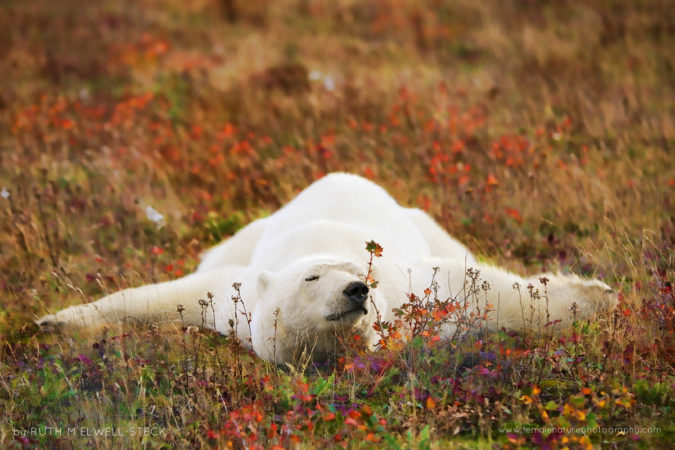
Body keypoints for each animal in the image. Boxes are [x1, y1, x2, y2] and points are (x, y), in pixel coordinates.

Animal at [37, 173, 617, 363]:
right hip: (240, 238)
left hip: (425, 222)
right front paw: (53, 321)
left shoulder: (416, 292)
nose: (356, 290)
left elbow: (482, 291)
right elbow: (162, 299)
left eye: (367, 275)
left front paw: (598, 295)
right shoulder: (235, 303)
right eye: (311, 279)